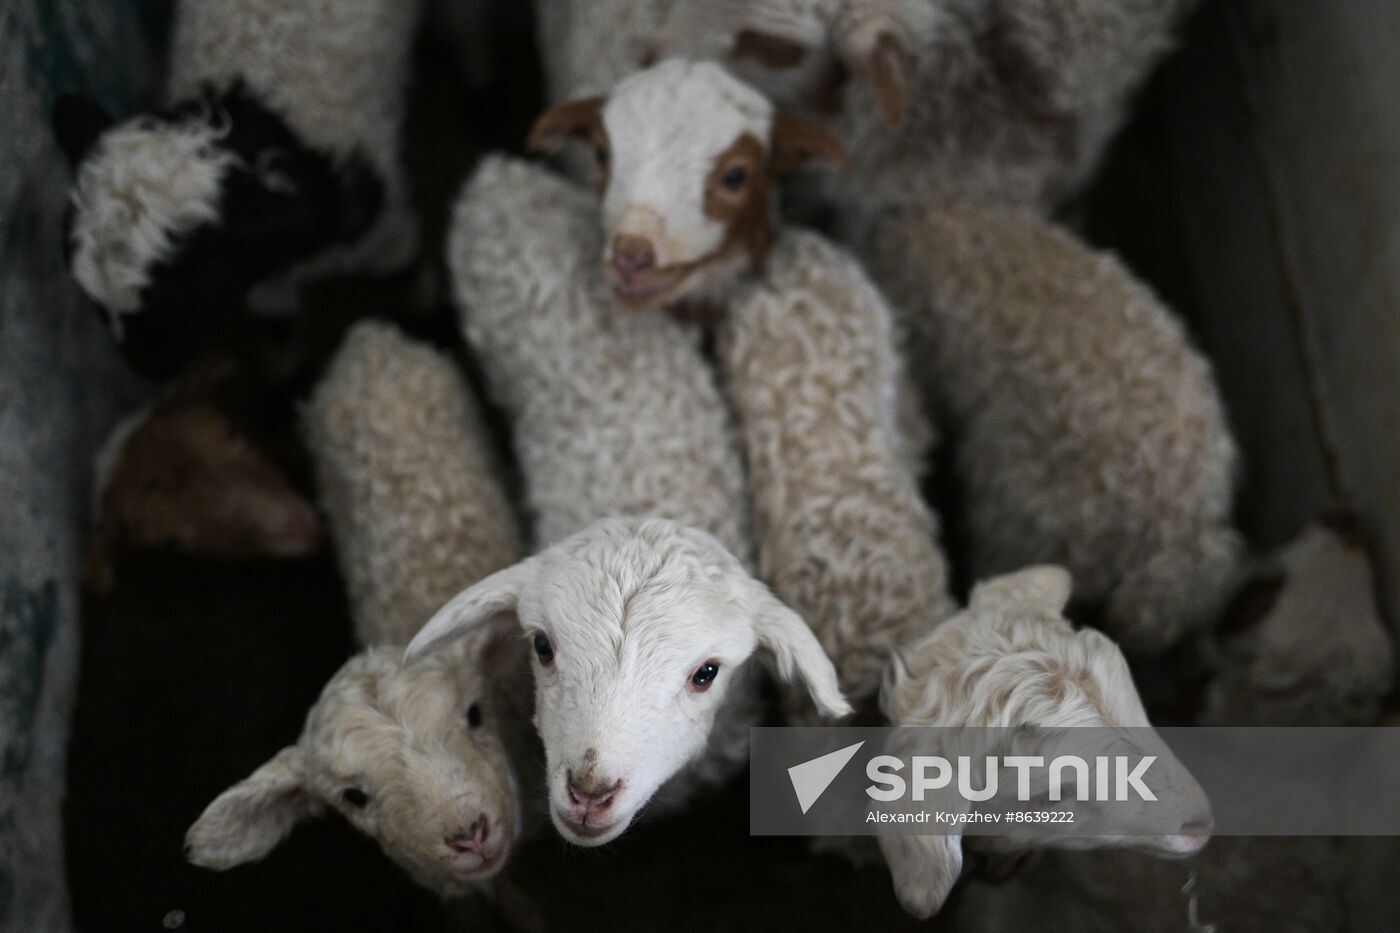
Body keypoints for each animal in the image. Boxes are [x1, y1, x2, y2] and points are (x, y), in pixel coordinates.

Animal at [53, 0, 420, 378]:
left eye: (190, 285)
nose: (147, 369)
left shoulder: (385, 227)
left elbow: (403, 275)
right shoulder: (263, 278)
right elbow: (278, 327)